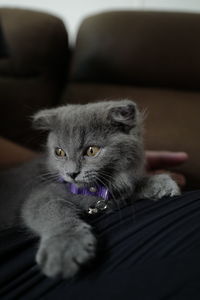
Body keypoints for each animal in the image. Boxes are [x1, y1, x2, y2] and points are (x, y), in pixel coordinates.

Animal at [0, 100, 180, 278]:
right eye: (59, 152)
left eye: (92, 151)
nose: (71, 173)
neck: (93, 191)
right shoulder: (41, 194)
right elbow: (53, 210)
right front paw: (65, 246)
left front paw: (159, 183)